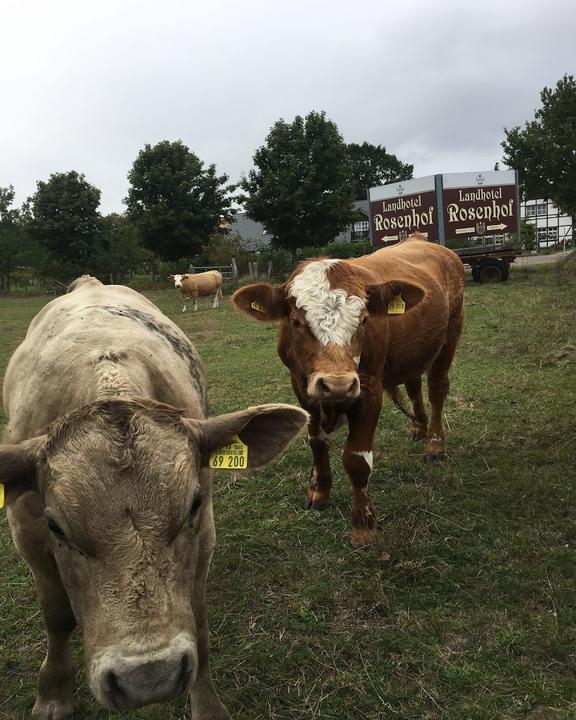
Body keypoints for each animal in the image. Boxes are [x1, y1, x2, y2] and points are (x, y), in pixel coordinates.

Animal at [0, 272, 306, 716]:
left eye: (192, 505)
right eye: (56, 526)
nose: (148, 677)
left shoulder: (204, 531)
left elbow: (197, 619)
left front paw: (208, 705)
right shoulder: (27, 531)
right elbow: (56, 616)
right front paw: (53, 693)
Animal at [232, 236, 466, 544]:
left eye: (364, 319)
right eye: (296, 322)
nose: (338, 384)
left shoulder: (369, 390)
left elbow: (357, 459)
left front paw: (363, 526)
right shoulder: (302, 389)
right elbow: (317, 444)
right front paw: (319, 491)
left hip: (450, 335)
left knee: (437, 389)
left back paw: (435, 443)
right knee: (414, 384)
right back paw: (418, 426)